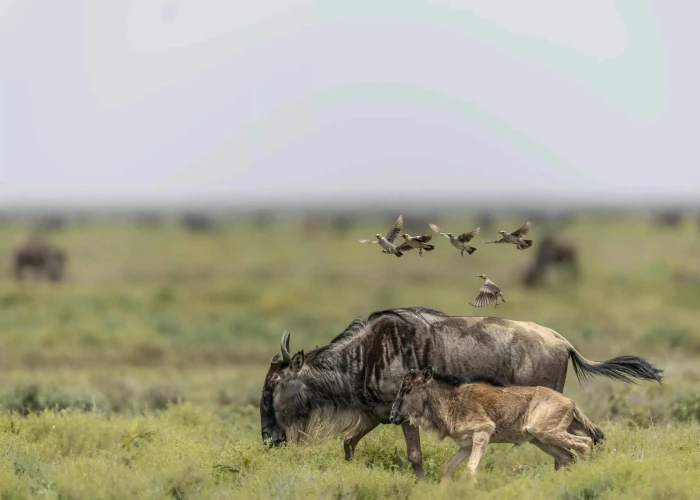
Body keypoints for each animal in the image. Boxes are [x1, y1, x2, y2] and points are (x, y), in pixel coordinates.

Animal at [392, 368, 604, 480]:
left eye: (407, 389)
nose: (393, 416)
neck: (451, 402)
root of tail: (571, 402)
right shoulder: (466, 446)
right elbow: (446, 469)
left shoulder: (482, 433)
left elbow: (470, 471)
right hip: (541, 440)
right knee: (569, 456)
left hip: (546, 432)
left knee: (584, 443)